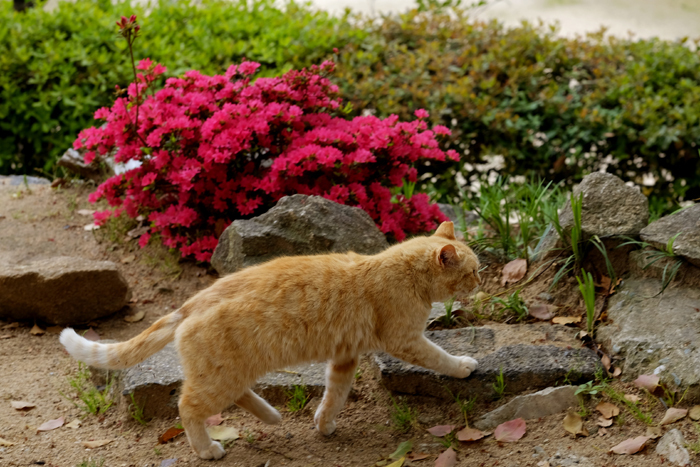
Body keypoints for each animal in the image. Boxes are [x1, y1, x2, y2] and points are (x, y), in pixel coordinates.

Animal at [60, 223, 482, 460]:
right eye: (472, 272)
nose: (480, 282)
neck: (399, 270)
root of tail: (190, 303)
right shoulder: (405, 340)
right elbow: (439, 357)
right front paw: (463, 366)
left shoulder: (344, 357)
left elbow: (335, 394)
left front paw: (324, 424)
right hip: (220, 377)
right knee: (188, 406)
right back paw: (207, 449)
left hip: (230, 370)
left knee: (235, 394)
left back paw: (271, 416)